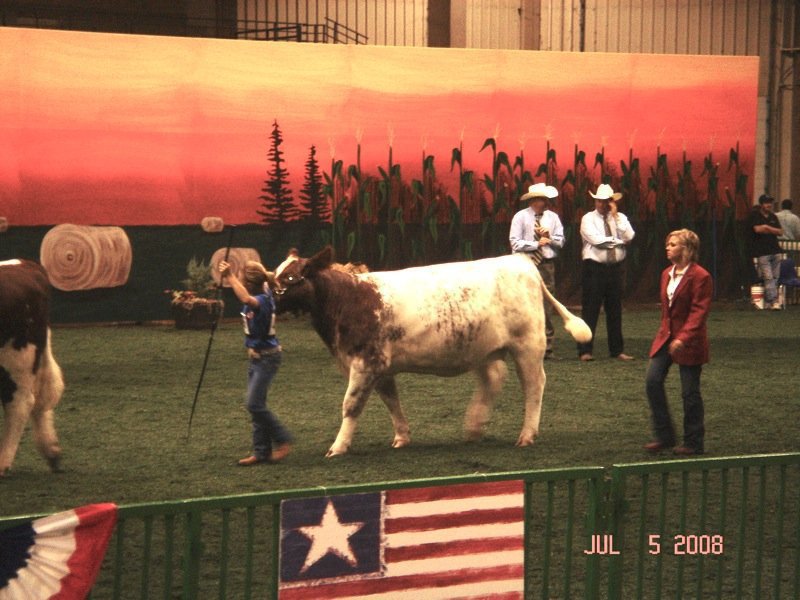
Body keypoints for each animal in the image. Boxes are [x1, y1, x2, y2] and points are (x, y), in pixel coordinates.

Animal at [276, 246, 592, 458]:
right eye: (275, 273)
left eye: (291, 278)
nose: (268, 301)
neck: (351, 300)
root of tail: (522, 263)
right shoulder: (381, 367)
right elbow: (391, 401)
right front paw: (402, 437)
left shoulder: (366, 363)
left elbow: (351, 405)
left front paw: (338, 446)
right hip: (483, 348)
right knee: (493, 380)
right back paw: (474, 428)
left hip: (528, 345)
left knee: (534, 385)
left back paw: (526, 435)